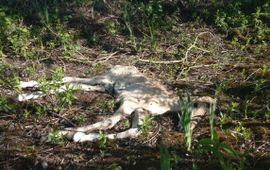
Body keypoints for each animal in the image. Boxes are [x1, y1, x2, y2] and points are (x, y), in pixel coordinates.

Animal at [17, 65, 214, 142]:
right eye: (196, 108)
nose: (184, 130)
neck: (164, 103)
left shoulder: (139, 112)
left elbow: (132, 132)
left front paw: (77, 136)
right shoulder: (128, 104)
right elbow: (108, 123)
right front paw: (57, 134)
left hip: (104, 87)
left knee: (72, 85)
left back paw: (24, 95)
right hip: (104, 78)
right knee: (69, 78)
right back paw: (22, 88)